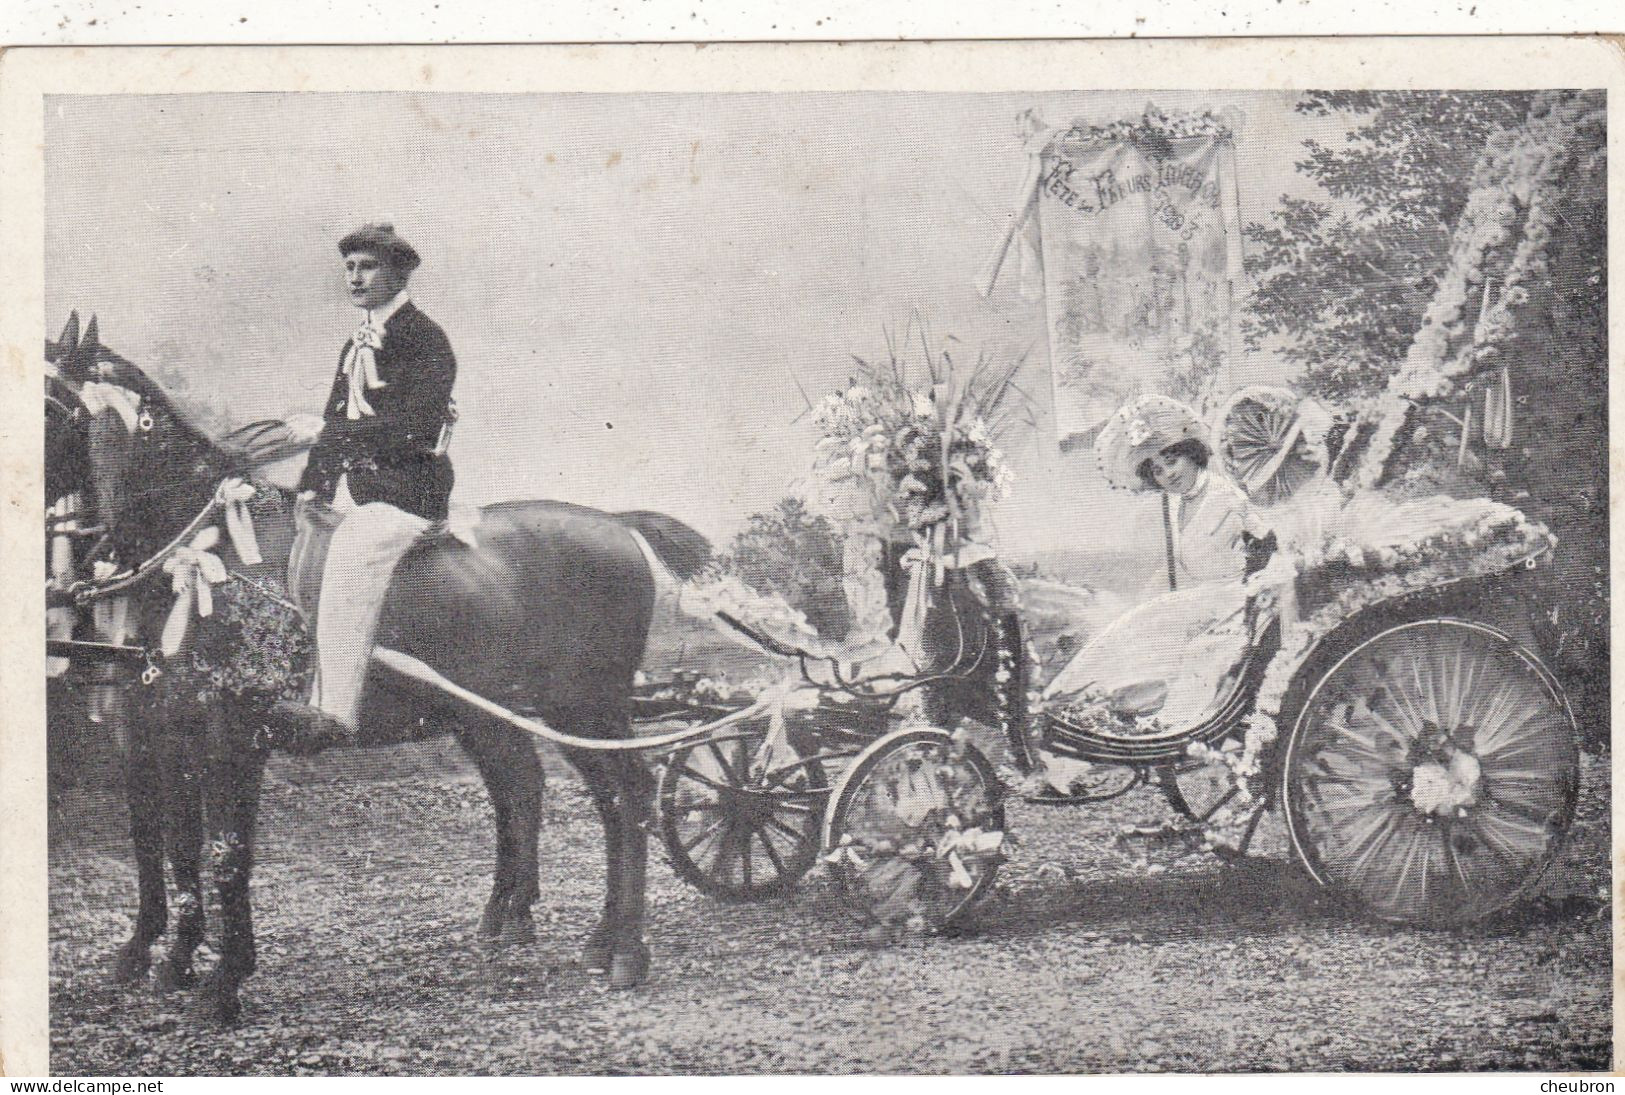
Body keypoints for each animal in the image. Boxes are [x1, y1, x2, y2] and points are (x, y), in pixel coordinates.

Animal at [49, 313, 711, 1013]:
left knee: (629, 796)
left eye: (49, 401)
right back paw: (562, 930)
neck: (208, 552)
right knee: (556, 793)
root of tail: (616, 523)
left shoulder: (232, 735)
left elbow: (225, 852)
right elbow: (166, 846)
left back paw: (626, 950)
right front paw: (168, 959)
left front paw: (222, 979)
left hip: (587, 709)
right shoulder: (159, 731)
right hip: (501, 714)